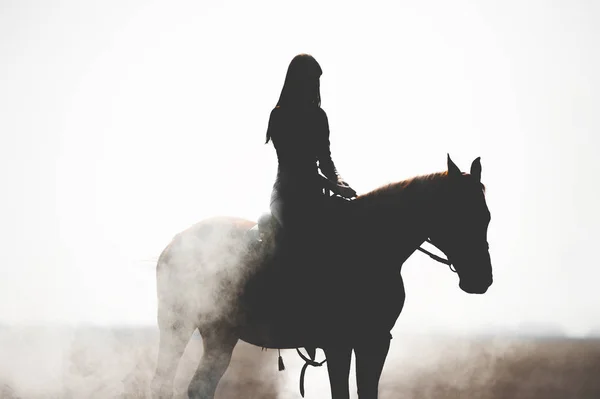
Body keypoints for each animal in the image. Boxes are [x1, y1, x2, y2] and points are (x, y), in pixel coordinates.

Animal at [149, 155, 492, 398]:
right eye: (459, 214)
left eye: (486, 216)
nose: (481, 280)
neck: (369, 247)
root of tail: (174, 243)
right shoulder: (337, 344)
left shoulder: (376, 341)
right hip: (177, 327)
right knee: (163, 384)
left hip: (221, 334)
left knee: (200, 386)